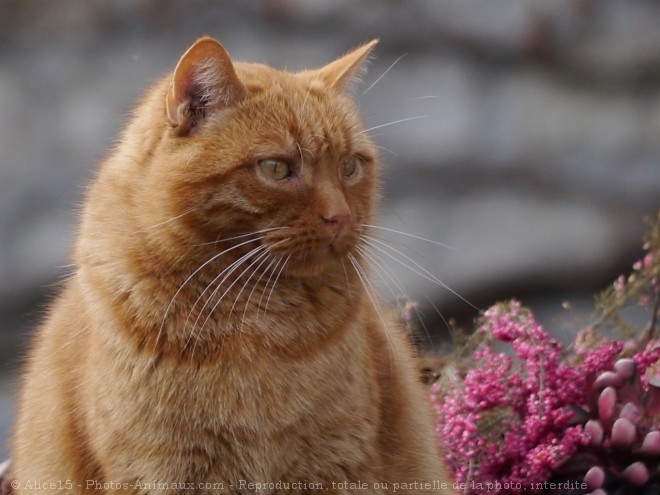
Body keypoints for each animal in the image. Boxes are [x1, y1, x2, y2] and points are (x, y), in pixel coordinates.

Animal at [10, 36, 454, 494]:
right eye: (276, 168)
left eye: (349, 166)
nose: (340, 216)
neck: (254, 321)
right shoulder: (157, 471)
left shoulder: (337, 465)